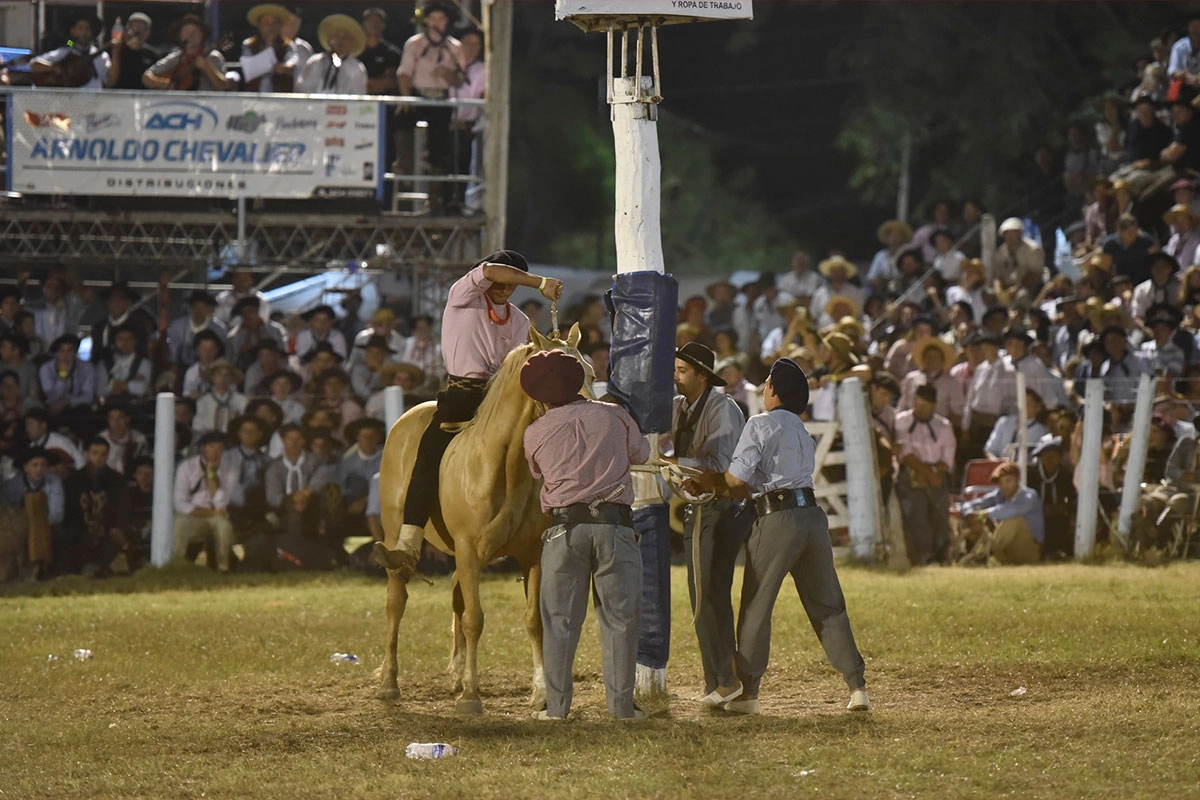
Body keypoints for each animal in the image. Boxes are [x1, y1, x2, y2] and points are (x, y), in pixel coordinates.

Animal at [376, 326, 592, 714]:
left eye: (591, 372)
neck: (501, 465)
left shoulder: (532, 554)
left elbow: (533, 621)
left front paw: (540, 693)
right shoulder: (468, 549)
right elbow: (474, 619)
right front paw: (471, 697)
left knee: (456, 597)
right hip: (395, 535)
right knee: (396, 602)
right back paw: (389, 683)